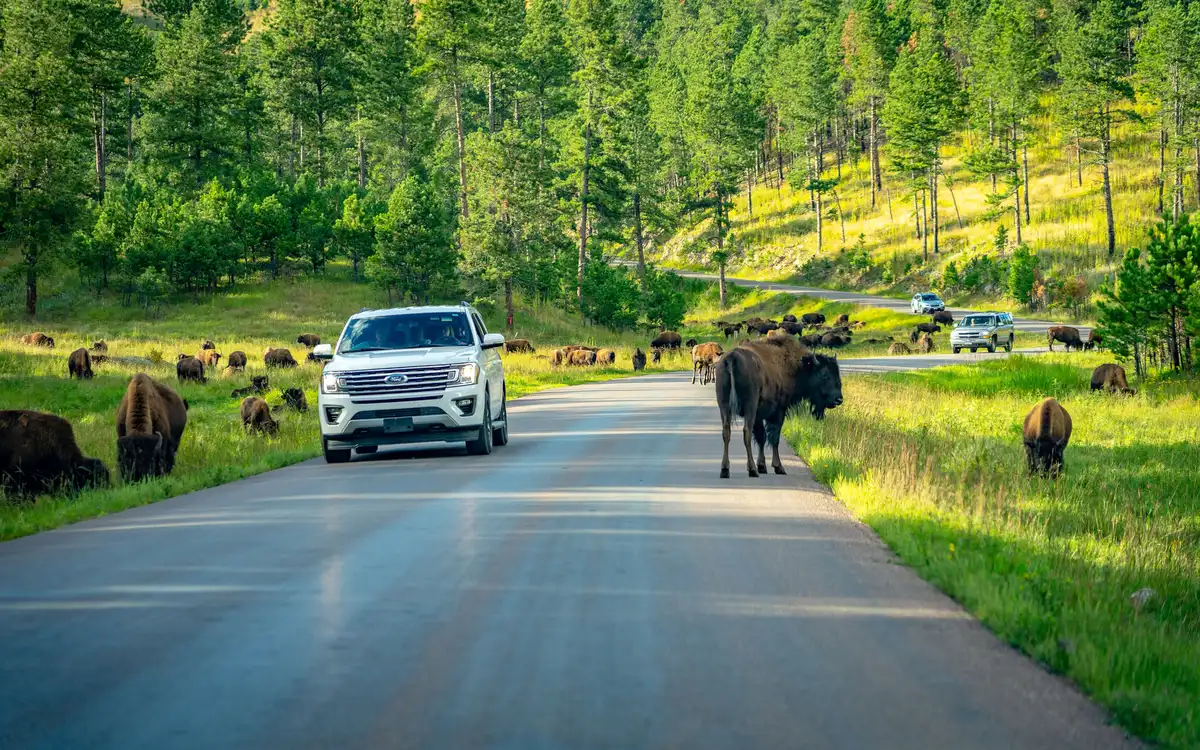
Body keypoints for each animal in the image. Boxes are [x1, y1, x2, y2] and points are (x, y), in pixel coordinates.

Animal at [715, 337, 843, 478]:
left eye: (837, 373)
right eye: (824, 374)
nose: (839, 399)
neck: (796, 367)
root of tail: (732, 358)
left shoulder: (759, 416)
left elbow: (762, 437)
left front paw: (762, 466)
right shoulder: (779, 411)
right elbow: (774, 438)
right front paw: (778, 467)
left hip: (724, 405)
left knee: (726, 432)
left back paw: (725, 470)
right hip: (750, 406)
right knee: (746, 432)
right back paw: (752, 470)